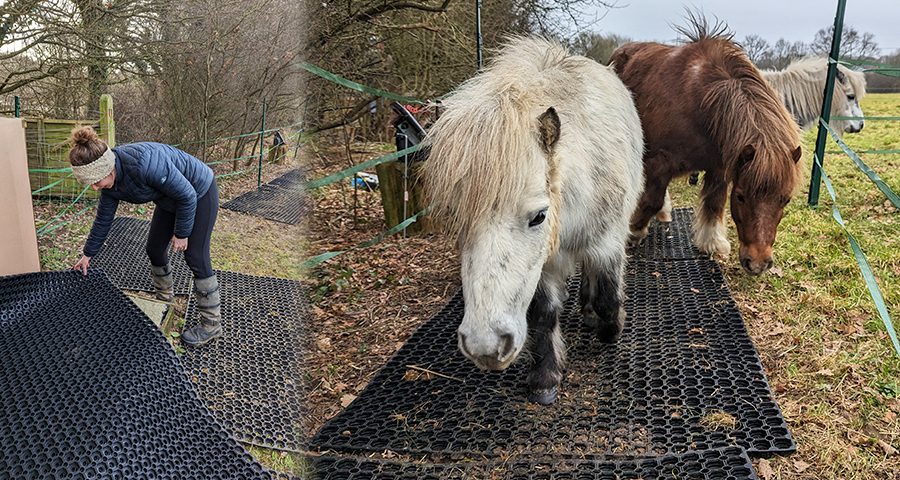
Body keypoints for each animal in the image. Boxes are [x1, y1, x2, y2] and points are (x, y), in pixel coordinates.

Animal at [422, 36, 648, 404]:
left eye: (539, 216)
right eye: (454, 217)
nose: (485, 346)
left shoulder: (606, 242)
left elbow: (608, 296)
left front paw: (610, 329)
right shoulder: (541, 267)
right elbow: (543, 313)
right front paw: (546, 377)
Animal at [612, 16, 800, 274]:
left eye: (785, 199)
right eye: (741, 197)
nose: (758, 264)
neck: (699, 101)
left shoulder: (719, 167)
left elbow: (714, 203)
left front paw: (712, 243)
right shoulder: (660, 162)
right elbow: (651, 200)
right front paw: (635, 231)